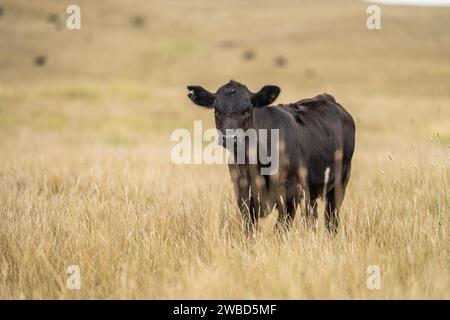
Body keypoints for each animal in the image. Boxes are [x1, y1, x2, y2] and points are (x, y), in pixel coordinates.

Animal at [186, 80, 356, 235]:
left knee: (331, 219)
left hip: (340, 181)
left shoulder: (291, 193)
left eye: (247, 110)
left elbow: (280, 230)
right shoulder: (243, 194)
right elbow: (250, 230)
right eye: (216, 111)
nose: (229, 137)